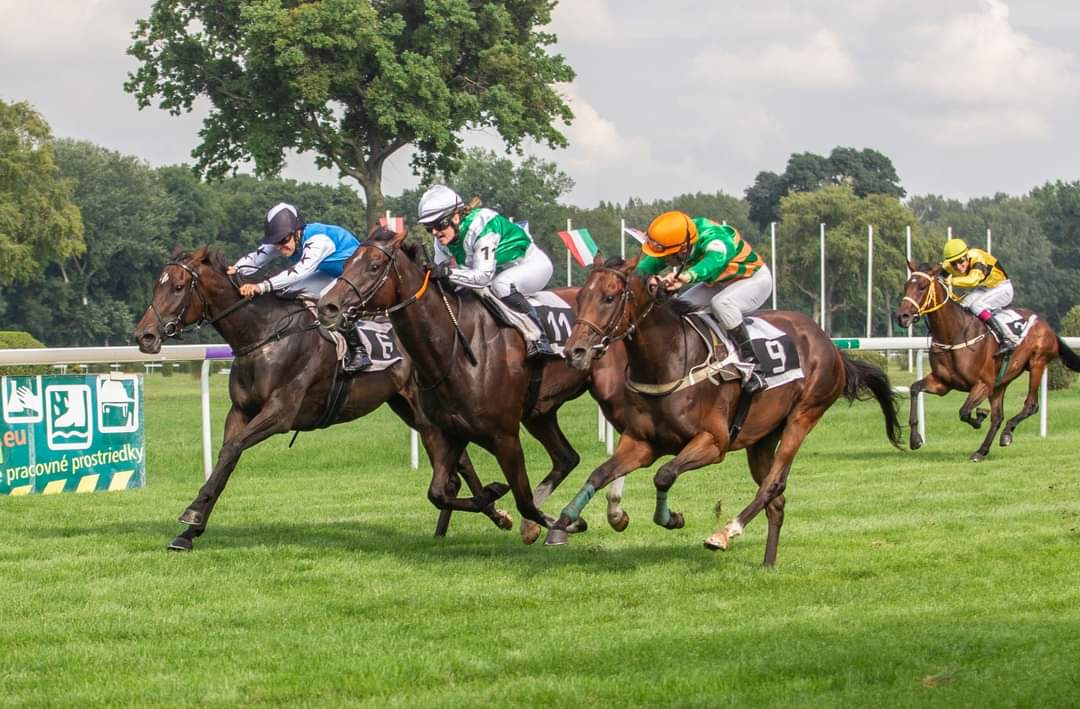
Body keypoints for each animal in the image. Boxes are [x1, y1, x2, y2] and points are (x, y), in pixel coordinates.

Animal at [132, 246, 503, 551]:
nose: (144, 336)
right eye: (156, 285)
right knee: (460, 462)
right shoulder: (239, 411)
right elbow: (226, 459)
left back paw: (491, 507)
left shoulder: (280, 413)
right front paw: (189, 532)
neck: (264, 335)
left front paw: (192, 513)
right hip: (407, 408)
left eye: (178, 287)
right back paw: (486, 513)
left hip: (422, 411)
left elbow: (231, 450)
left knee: (455, 464)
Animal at [315, 226, 630, 542]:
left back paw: (613, 511)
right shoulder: (452, 430)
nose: (327, 306)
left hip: (612, 395)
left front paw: (565, 523)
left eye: (374, 266)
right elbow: (439, 492)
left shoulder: (505, 436)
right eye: (345, 264)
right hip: (540, 412)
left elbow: (524, 501)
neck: (456, 351)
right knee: (567, 457)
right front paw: (495, 496)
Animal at [544, 255, 898, 566]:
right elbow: (601, 472)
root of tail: (829, 343)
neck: (670, 359)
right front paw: (565, 520)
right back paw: (768, 563)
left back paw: (725, 532)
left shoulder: (714, 443)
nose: (574, 351)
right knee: (777, 501)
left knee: (773, 485)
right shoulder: (643, 443)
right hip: (762, 438)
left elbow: (664, 474)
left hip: (804, 415)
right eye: (581, 297)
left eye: (609, 297)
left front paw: (671, 518)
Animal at [894, 257, 1080, 462]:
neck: (954, 334)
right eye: (906, 285)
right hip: (1000, 383)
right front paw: (915, 439)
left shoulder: (982, 384)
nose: (902, 316)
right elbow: (914, 388)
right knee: (998, 417)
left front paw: (979, 416)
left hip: (1037, 363)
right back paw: (981, 451)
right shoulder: (943, 383)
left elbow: (964, 411)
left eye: (922, 286)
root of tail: (1046, 325)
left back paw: (1006, 434)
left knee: (1030, 405)